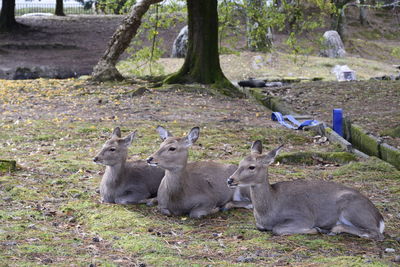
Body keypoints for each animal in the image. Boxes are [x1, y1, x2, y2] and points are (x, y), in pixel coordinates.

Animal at [227, 141, 386, 242]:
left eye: (251, 167)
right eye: (240, 163)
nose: (230, 180)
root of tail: (380, 219)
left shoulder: (302, 217)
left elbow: (277, 229)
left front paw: (315, 229)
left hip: (352, 209)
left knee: (375, 234)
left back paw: (332, 229)